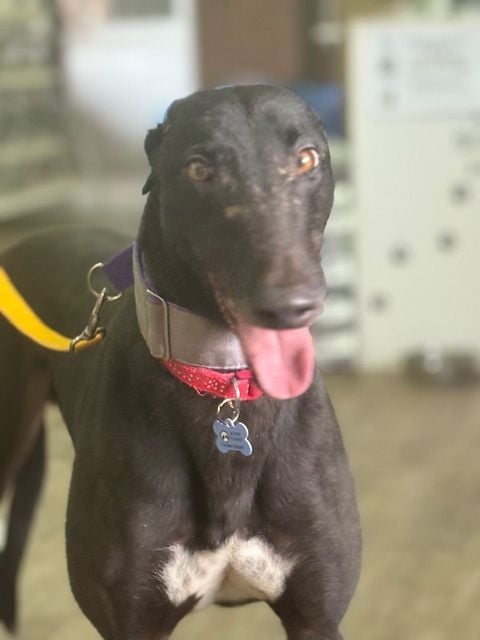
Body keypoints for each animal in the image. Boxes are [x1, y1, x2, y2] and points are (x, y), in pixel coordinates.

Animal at [0, 85, 361, 640]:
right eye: (198, 168)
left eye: (306, 159)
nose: (289, 304)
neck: (223, 383)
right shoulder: (130, 621)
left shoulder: (316, 618)